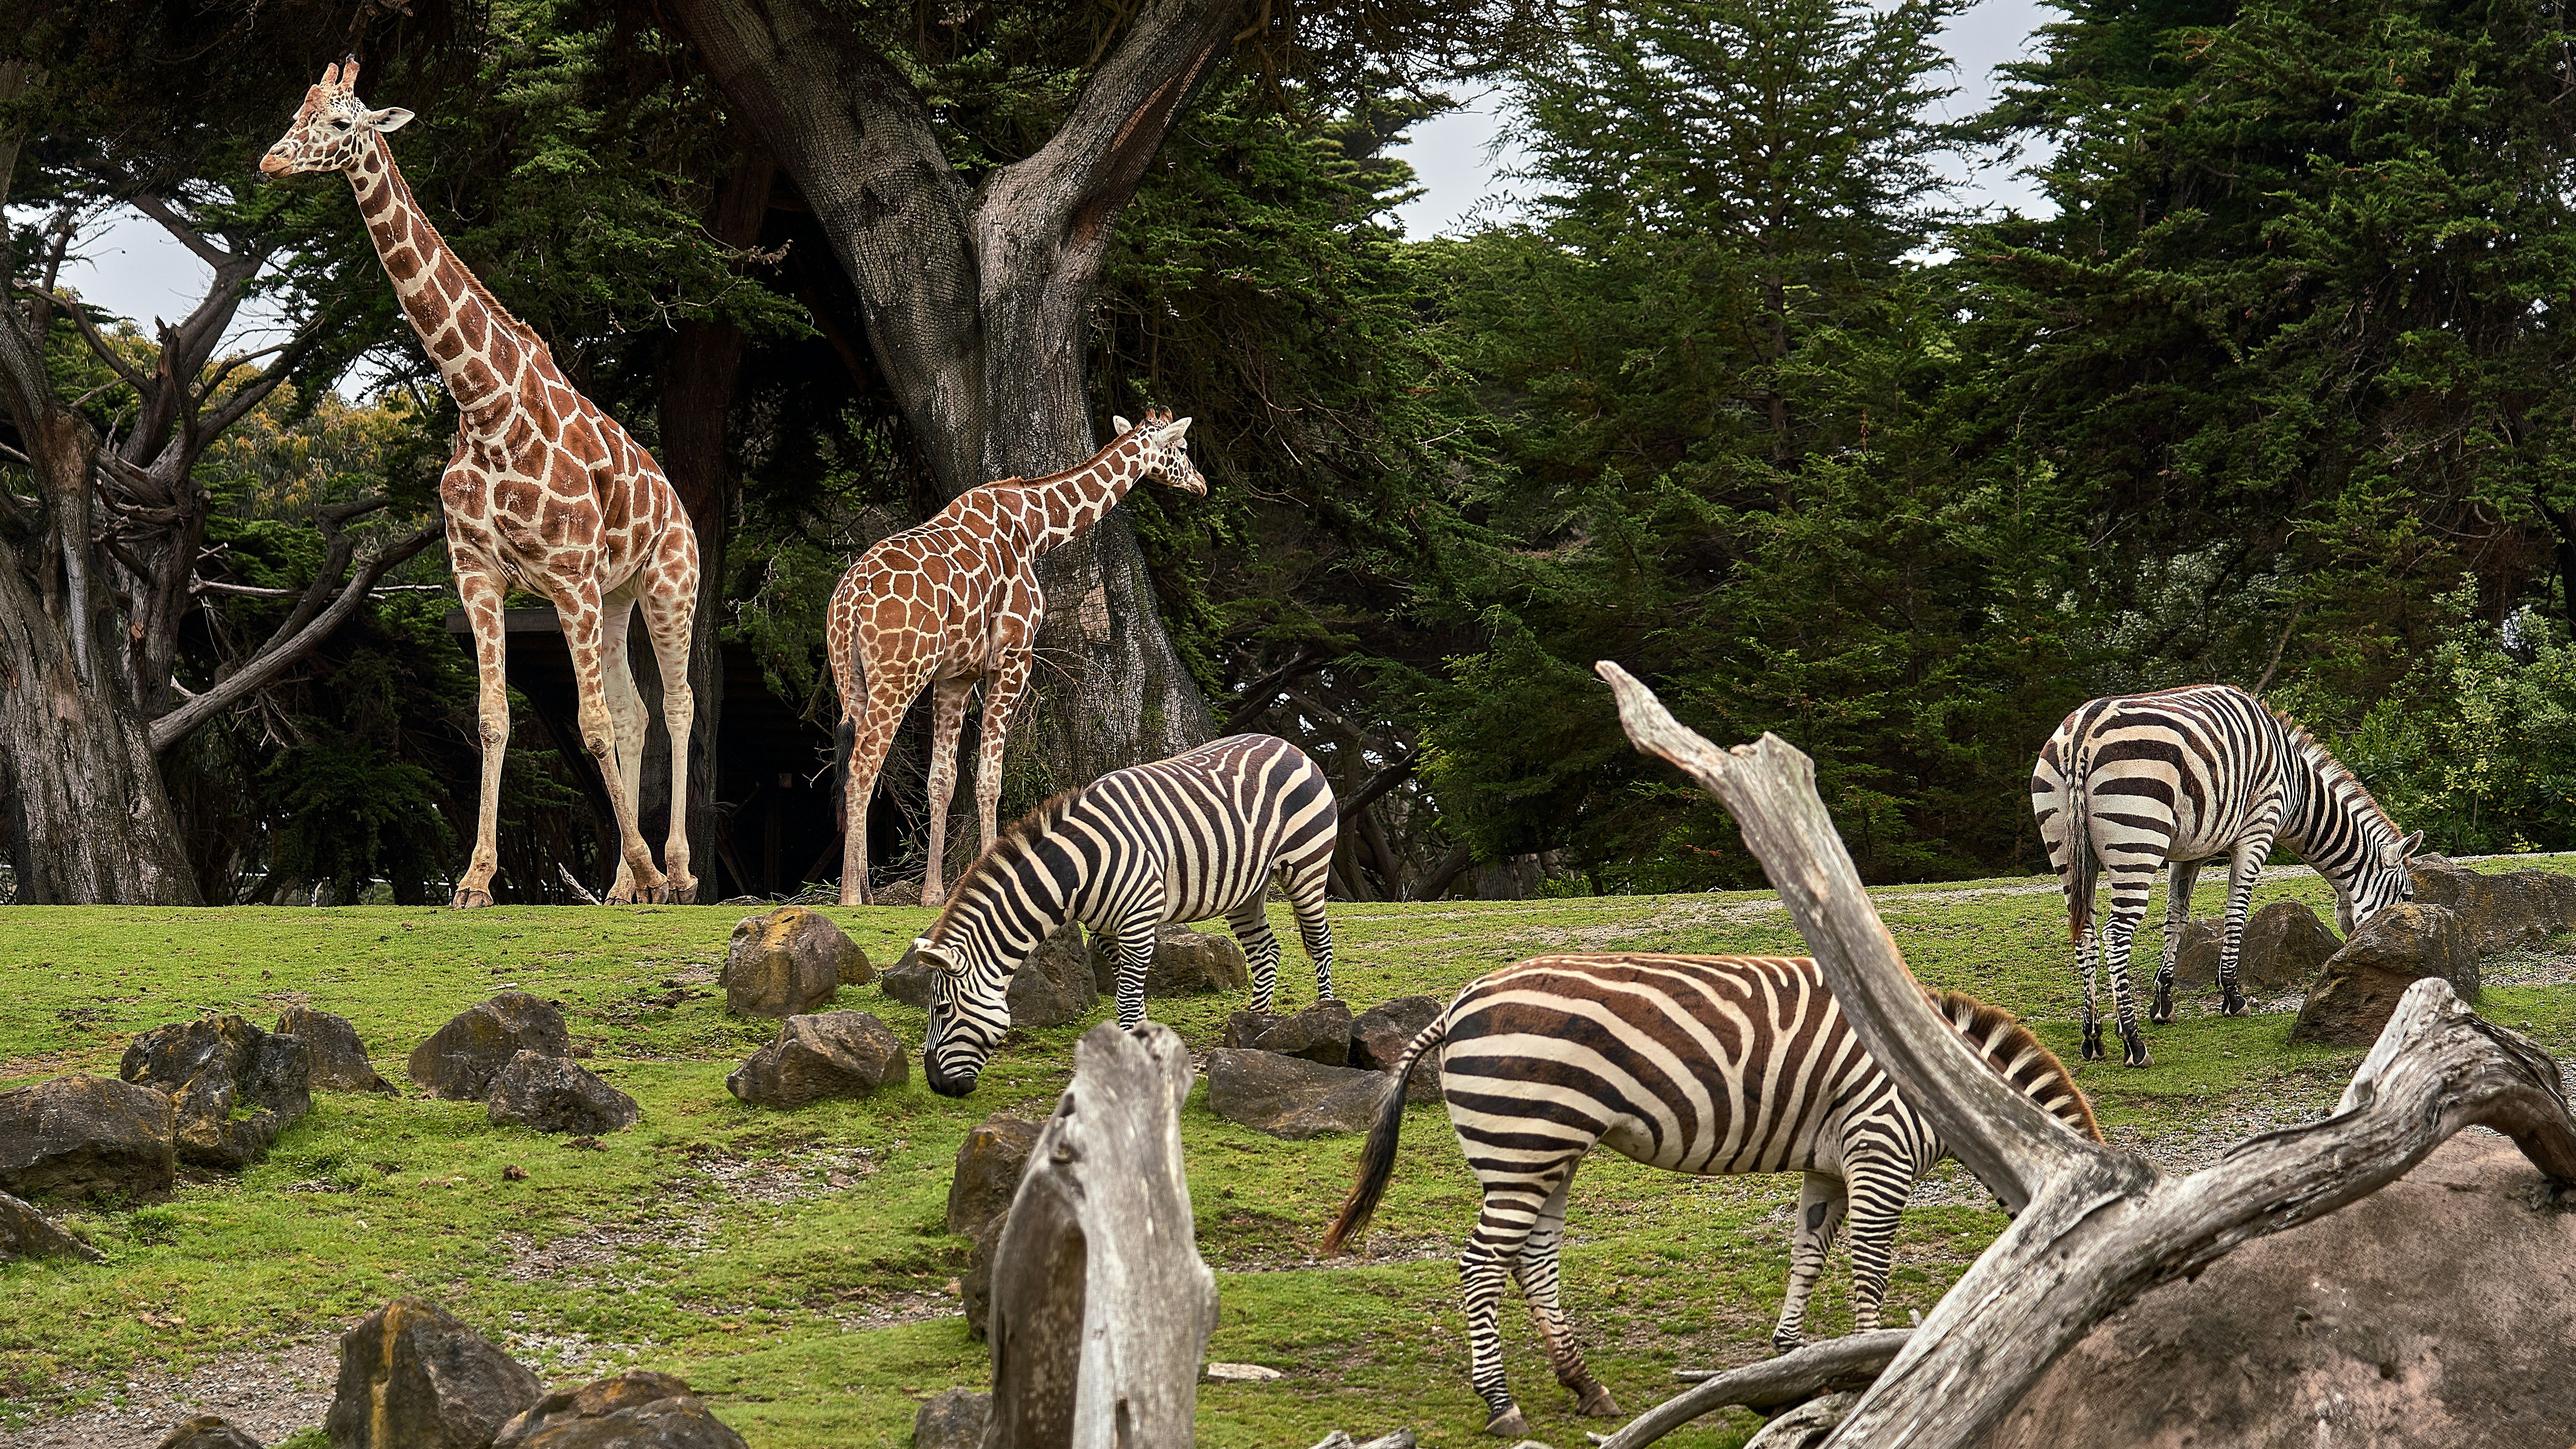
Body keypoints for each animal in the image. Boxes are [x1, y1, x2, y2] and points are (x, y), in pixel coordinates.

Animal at [260, 60, 700, 907]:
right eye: (297, 110)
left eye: (341, 124)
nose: (270, 161)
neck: (484, 404)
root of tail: (677, 501)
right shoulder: (479, 572)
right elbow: (496, 717)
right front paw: (474, 879)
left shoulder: (567, 577)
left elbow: (590, 722)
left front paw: (642, 866)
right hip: (618, 593)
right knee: (636, 711)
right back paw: (628, 886)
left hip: (669, 581)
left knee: (677, 703)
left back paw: (677, 871)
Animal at [827, 410, 1206, 906]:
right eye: (1181, 448)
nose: (1201, 483)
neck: (1036, 527)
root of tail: (851, 598)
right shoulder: (1012, 657)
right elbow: (990, 778)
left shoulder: (956, 675)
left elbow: (942, 780)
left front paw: (933, 893)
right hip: (899, 676)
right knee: (863, 765)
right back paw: (850, 898)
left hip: (850, 677)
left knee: (855, 765)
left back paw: (864, 892)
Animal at [909, 733, 1338, 1096]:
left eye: (942, 1010)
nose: (936, 1085)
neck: (1078, 868)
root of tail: (1286, 744)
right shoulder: (1105, 931)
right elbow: (1128, 993)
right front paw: (1143, 1048)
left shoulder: (1138, 921)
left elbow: (1127, 1002)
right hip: (1246, 887)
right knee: (1265, 950)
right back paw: (1253, 1028)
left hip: (1307, 864)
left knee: (1320, 941)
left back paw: (1324, 1017)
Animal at [1320, 953, 2099, 1438]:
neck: (1949, 1085)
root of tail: (1457, 1004)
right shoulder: (1879, 1150)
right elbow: (1869, 1267)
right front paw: (1872, 1363)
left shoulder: (1829, 1164)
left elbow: (1808, 1252)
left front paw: (1792, 1355)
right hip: (1524, 1140)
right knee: (1482, 1265)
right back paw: (1501, 1402)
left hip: (1543, 1152)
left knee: (1531, 1260)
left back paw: (1584, 1385)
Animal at [2030, 683, 2421, 1067]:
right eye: (2407, 900)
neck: (2297, 787)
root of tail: (2081, 736)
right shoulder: (2258, 831)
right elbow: (2237, 914)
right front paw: (2233, 997)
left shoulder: (2189, 852)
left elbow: (2177, 919)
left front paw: (2163, 1002)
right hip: (2137, 841)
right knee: (2115, 936)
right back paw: (2133, 1042)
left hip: (2067, 851)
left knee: (2085, 934)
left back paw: (2092, 1037)